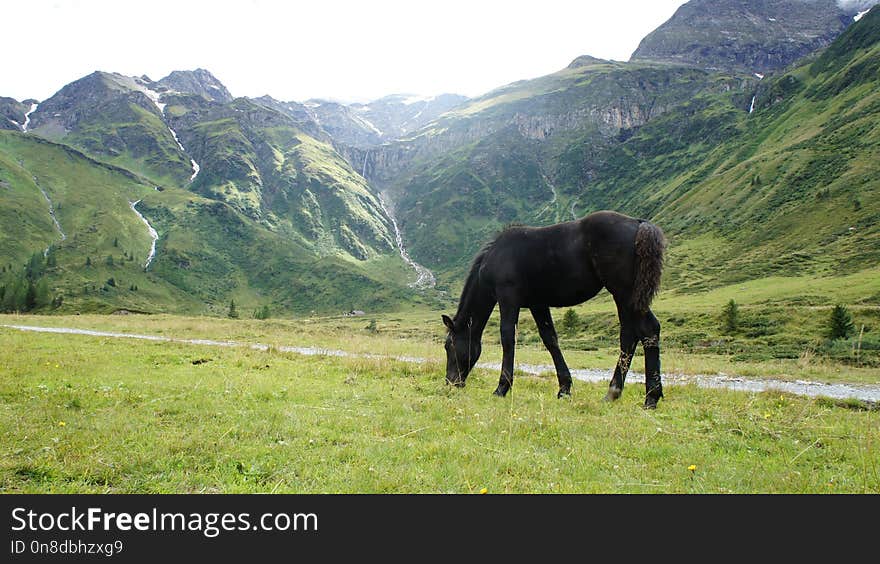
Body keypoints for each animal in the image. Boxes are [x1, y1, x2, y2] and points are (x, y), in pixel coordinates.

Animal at [444, 209, 664, 408]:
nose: (451, 382)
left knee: (646, 330)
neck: (496, 255)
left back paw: (650, 398)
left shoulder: (508, 298)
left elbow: (507, 337)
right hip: (626, 296)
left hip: (624, 292)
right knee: (631, 335)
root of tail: (639, 223)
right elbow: (550, 339)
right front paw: (564, 388)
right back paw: (614, 393)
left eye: (449, 346)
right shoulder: (538, 304)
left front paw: (502, 388)